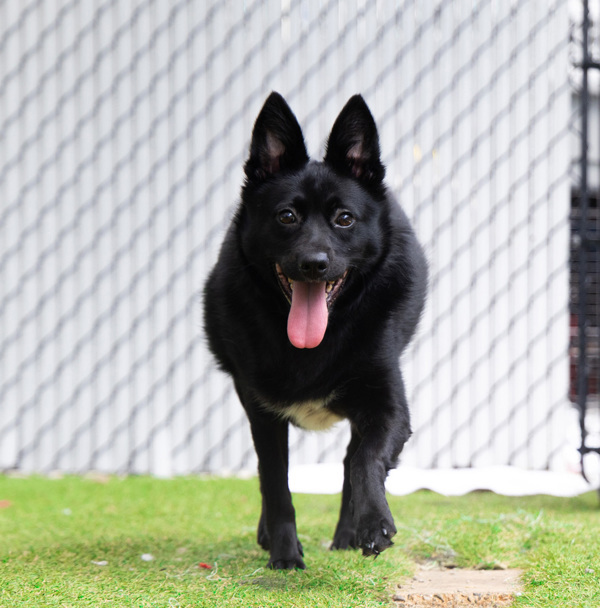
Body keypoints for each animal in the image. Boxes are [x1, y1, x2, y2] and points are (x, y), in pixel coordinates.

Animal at [205, 92, 426, 568]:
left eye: (344, 219)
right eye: (286, 216)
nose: (313, 264)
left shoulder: (388, 408)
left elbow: (365, 461)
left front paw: (372, 523)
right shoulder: (261, 409)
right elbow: (275, 481)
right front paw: (286, 555)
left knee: (350, 459)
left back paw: (348, 532)